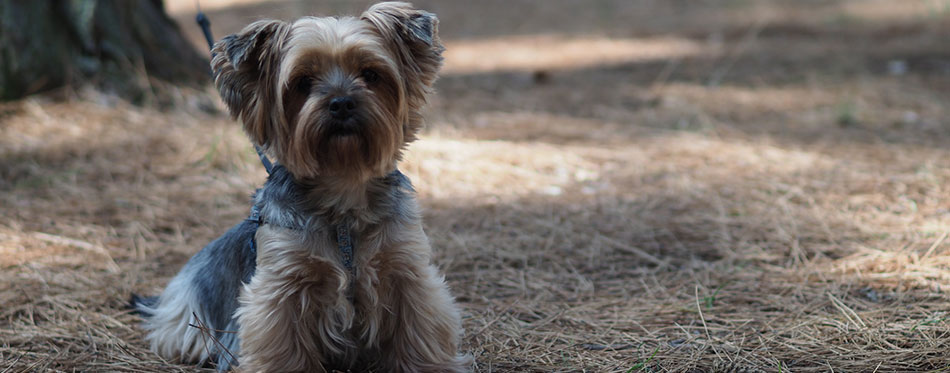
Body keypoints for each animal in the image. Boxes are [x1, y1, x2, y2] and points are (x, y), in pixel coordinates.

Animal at [135, 2, 472, 370]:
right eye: (303, 82)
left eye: (370, 74)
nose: (341, 102)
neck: (342, 187)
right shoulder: (282, 283)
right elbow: (281, 340)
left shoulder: (405, 269)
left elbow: (419, 329)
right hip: (188, 308)